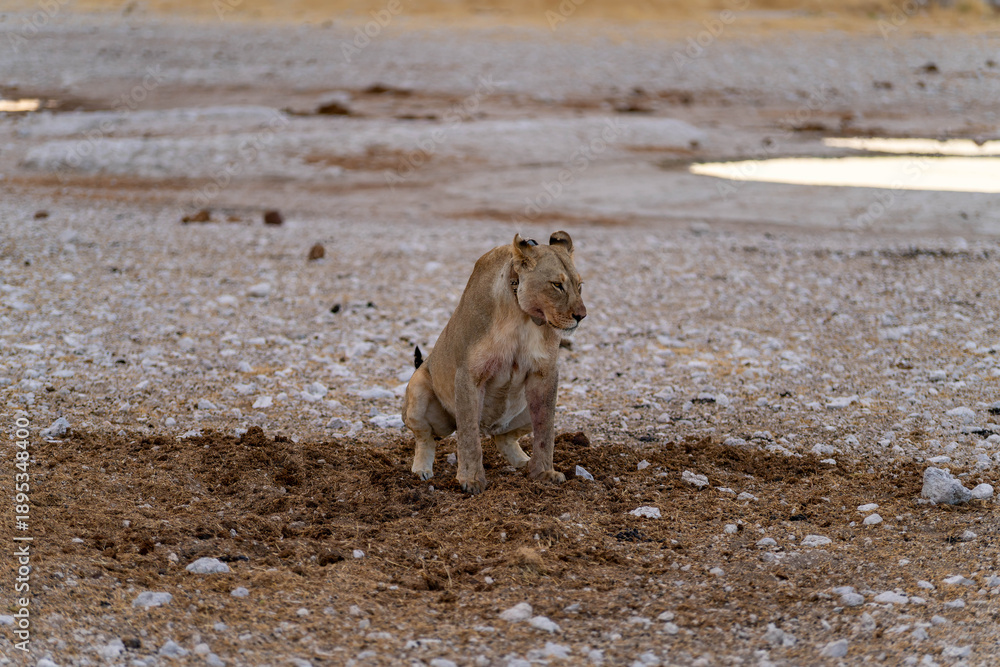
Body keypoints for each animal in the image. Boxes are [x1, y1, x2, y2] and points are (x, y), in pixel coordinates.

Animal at [402, 231, 587, 494]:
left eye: (579, 286)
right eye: (557, 285)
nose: (581, 316)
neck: (521, 316)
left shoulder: (545, 374)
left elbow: (546, 431)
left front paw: (544, 473)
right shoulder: (469, 374)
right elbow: (469, 435)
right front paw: (471, 480)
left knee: (504, 438)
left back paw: (524, 462)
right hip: (418, 391)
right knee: (425, 437)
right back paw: (422, 470)